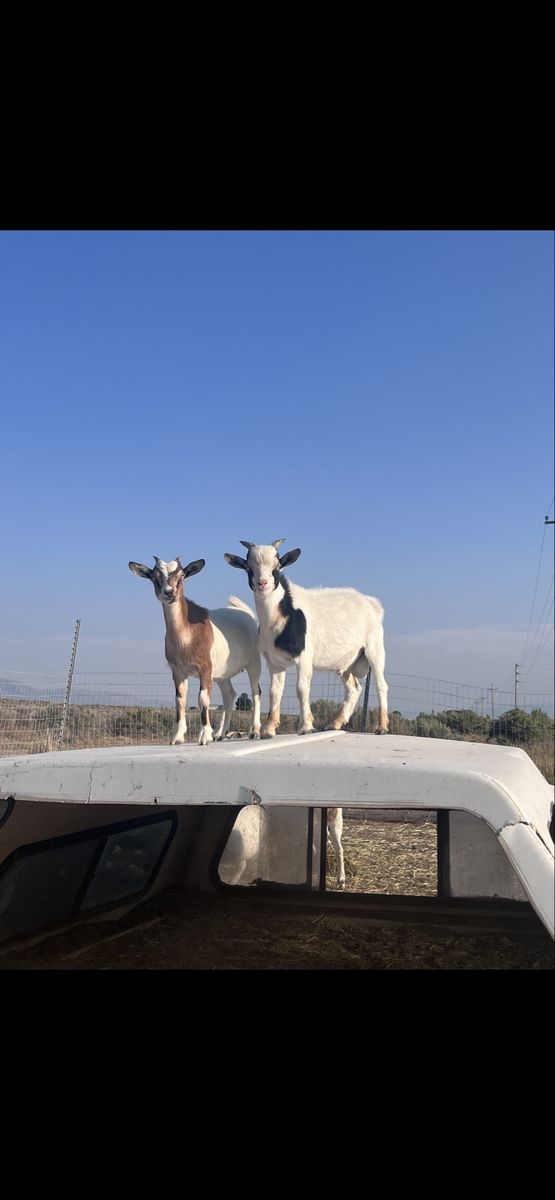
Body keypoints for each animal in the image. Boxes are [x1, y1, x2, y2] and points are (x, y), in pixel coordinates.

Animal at [129, 556, 262, 745]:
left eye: (182, 575)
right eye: (155, 576)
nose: (169, 592)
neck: (186, 636)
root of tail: (245, 614)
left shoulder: (204, 667)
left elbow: (203, 698)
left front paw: (204, 736)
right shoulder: (178, 670)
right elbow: (180, 700)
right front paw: (177, 737)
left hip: (253, 662)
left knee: (256, 691)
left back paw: (254, 731)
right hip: (222, 672)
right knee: (229, 695)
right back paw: (220, 734)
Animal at [224, 539, 388, 739]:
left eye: (277, 566)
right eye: (249, 567)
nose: (262, 583)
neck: (284, 613)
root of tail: (372, 604)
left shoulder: (304, 657)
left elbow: (302, 689)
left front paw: (306, 726)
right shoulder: (275, 662)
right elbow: (274, 692)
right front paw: (268, 729)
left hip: (374, 648)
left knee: (381, 684)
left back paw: (382, 726)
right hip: (346, 662)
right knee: (354, 688)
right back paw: (335, 723)